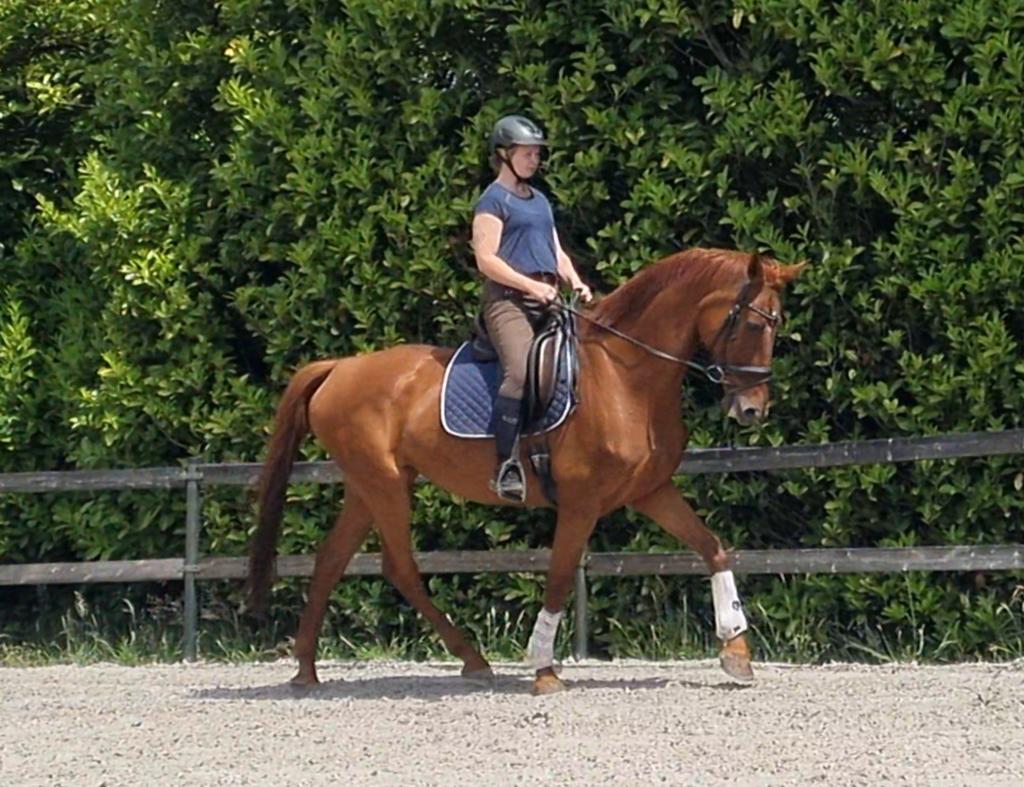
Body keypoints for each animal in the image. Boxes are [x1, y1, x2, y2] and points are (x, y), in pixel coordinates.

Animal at [246, 248, 804, 694]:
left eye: (776, 325)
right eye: (755, 324)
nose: (753, 410)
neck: (626, 377)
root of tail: (339, 367)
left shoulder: (650, 490)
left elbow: (713, 548)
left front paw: (736, 651)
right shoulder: (581, 502)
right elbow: (558, 577)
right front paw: (544, 670)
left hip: (371, 486)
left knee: (330, 561)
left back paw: (307, 671)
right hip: (384, 486)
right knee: (398, 566)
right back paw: (470, 660)